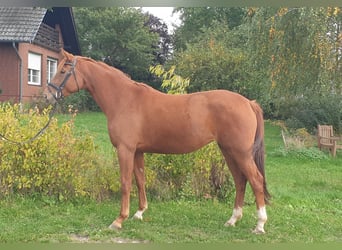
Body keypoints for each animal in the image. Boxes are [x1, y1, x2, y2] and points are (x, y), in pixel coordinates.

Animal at [44, 49, 270, 234]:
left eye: (63, 71)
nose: (47, 96)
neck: (124, 99)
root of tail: (248, 103)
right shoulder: (137, 151)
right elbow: (140, 180)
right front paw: (139, 213)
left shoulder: (125, 150)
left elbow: (125, 183)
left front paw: (119, 220)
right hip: (228, 151)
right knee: (240, 181)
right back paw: (233, 220)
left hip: (240, 153)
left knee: (256, 181)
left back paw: (259, 225)